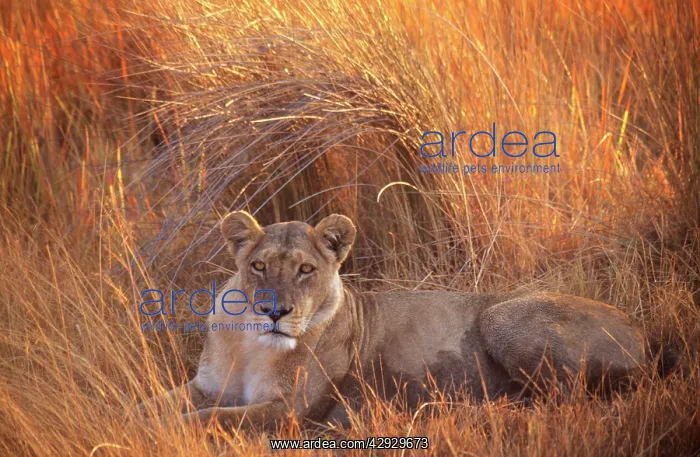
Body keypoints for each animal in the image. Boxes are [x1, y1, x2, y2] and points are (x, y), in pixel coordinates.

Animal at [140, 211, 676, 429]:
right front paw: (130, 419)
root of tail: (645, 331)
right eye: (258, 266)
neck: (251, 343)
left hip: (503, 314)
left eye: (306, 270)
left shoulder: (290, 411)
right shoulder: (207, 384)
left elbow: (209, 420)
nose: (275, 311)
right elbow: (153, 404)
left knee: (566, 400)